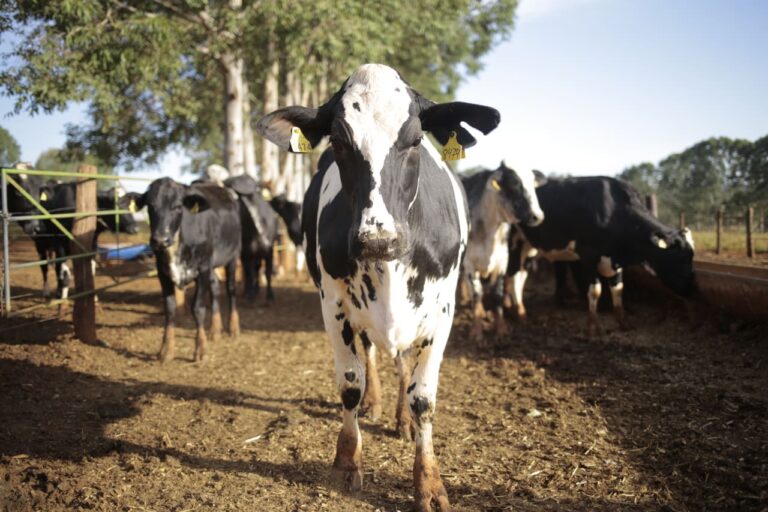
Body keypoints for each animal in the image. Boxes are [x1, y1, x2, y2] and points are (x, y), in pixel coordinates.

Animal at [124, 178, 242, 362]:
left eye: (178, 206)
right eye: (150, 206)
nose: (160, 240)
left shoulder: (202, 268)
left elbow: (198, 308)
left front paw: (200, 349)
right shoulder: (163, 273)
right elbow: (170, 309)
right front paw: (166, 350)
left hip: (232, 256)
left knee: (231, 289)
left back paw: (234, 328)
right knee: (215, 289)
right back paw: (215, 330)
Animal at [255, 63, 500, 512]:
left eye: (416, 138)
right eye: (337, 141)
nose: (377, 240)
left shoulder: (443, 310)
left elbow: (424, 397)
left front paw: (428, 483)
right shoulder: (332, 303)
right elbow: (350, 382)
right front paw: (347, 462)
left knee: (402, 364)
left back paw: (402, 419)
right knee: (369, 354)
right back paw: (375, 402)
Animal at [460, 162, 544, 342]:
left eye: (533, 185)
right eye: (514, 185)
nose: (538, 216)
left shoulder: (502, 263)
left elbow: (497, 295)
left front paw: (501, 329)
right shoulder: (470, 265)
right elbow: (476, 294)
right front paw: (476, 331)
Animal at [504, 175, 696, 336]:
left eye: (691, 257)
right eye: (680, 258)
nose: (690, 289)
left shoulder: (615, 260)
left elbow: (618, 289)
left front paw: (624, 322)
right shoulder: (588, 256)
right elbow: (595, 290)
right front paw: (593, 326)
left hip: (529, 246)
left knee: (520, 276)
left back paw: (516, 310)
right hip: (514, 242)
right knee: (512, 276)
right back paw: (517, 313)